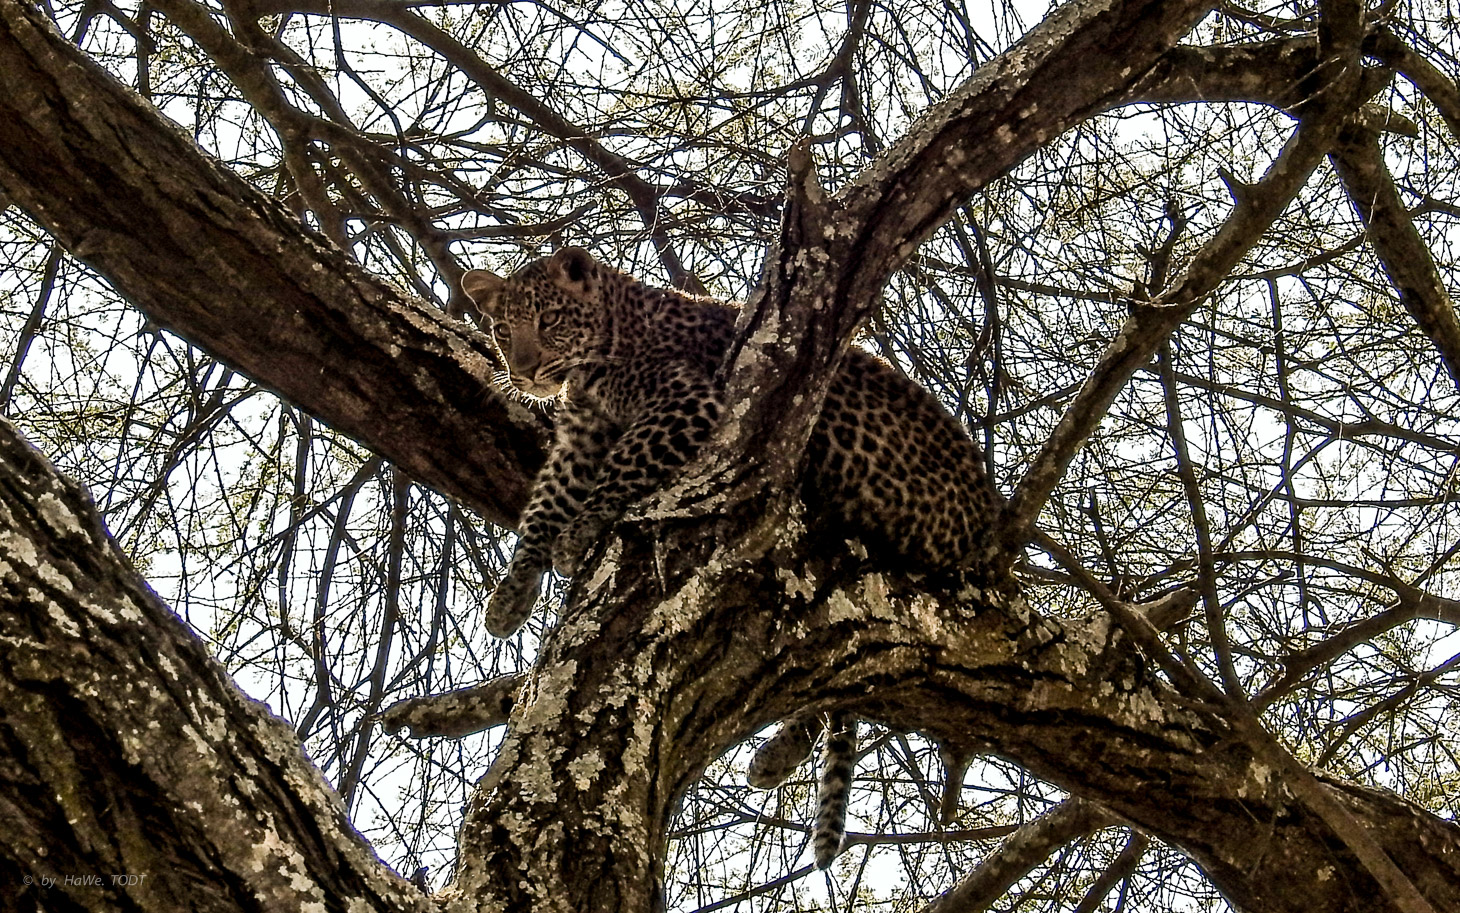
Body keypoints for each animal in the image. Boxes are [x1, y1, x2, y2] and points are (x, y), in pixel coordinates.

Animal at [461, 246, 1002, 869]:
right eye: (504, 330)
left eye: (549, 321)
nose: (523, 371)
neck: (600, 356)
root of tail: (989, 530)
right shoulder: (579, 438)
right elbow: (542, 508)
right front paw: (510, 597)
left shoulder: (685, 401)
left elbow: (622, 466)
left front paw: (577, 537)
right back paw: (777, 757)